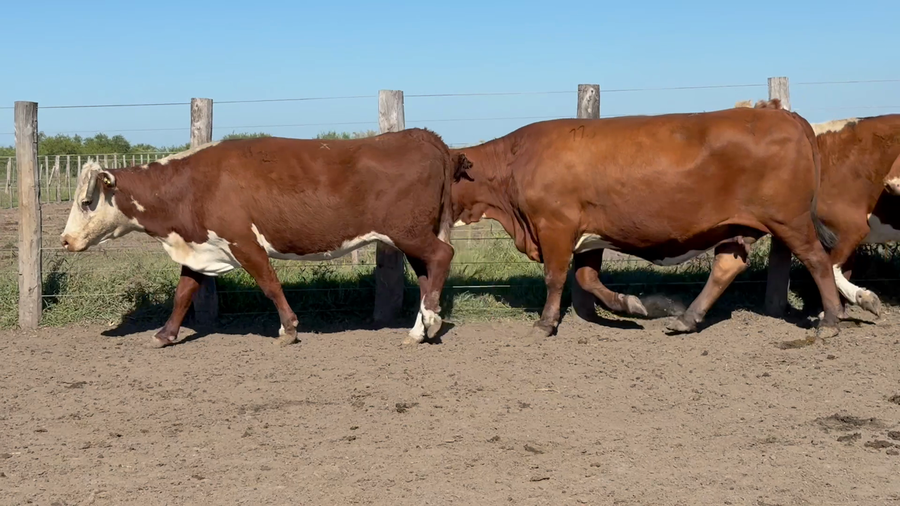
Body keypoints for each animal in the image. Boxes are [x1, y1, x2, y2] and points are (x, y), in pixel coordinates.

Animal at [60, 129, 464, 348]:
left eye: (86, 202)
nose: (65, 240)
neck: (192, 184)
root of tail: (423, 137)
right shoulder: (201, 247)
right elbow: (183, 293)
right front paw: (165, 334)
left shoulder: (244, 243)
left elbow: (270, 284)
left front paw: (289, 328)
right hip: (411, 237)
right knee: (427, 274)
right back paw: (422, 327)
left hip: (409, 233)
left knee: (442, 256)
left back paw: (429, 322)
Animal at [449, 107, 844, 341]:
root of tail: (783, 114)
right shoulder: (590, 235)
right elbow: (587, 278)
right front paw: (640, 306)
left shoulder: (555, 226)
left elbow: (556, 277)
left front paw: (546, 323)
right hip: (735, 227)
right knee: (726, 267)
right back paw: (686, 318)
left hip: (790, 221)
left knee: (818, 260)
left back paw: (830, 320)